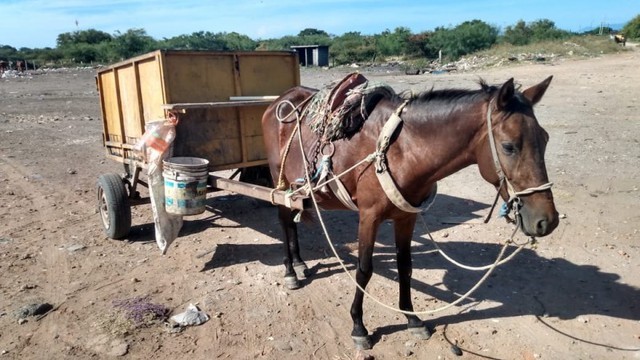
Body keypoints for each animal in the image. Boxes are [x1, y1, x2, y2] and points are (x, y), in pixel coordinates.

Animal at [260, 75, 560, 348]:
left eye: (545, 139)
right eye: (509, 146)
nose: (547, 221)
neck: (402, 150)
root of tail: (279, 100)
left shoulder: (406, 217)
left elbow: (405, 267)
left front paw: (412, 319)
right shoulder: (368, 217)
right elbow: (363, 270)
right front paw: (359, 326)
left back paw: (300, 263)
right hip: (279, 181)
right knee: (284, 220)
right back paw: (290, 270)